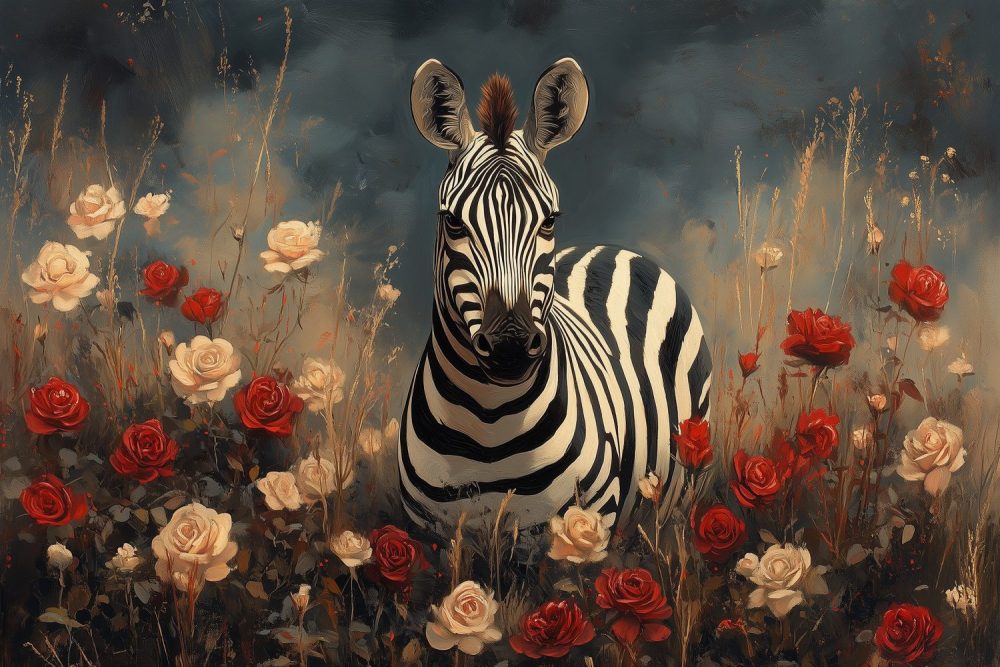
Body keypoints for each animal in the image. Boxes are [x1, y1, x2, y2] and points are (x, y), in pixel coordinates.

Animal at [399, 58, 712, 531]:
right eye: (452, 221)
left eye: (548, 221)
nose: (509, 346)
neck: (488, 423)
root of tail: (613, 249)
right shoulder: (426, 530)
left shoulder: (590, 514)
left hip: (682, 480)